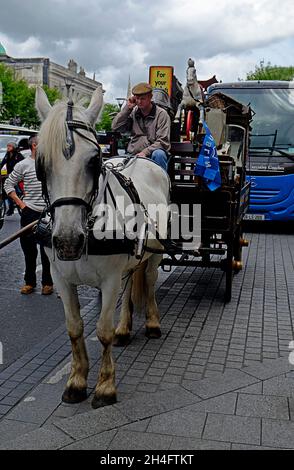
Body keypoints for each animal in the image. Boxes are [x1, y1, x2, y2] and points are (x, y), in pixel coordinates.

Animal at [35, 86, 169, 410]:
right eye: (41, 163)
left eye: (94, 160)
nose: (68, 241)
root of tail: (143, 160)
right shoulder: (61, 279)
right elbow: (75, 328)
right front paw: (76, 381)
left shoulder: (108, 279)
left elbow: (102, 331)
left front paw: (106, 386)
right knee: (129, 284)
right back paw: (125, 328)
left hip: (155, 253)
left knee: (148, 281)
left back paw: (152, 323)